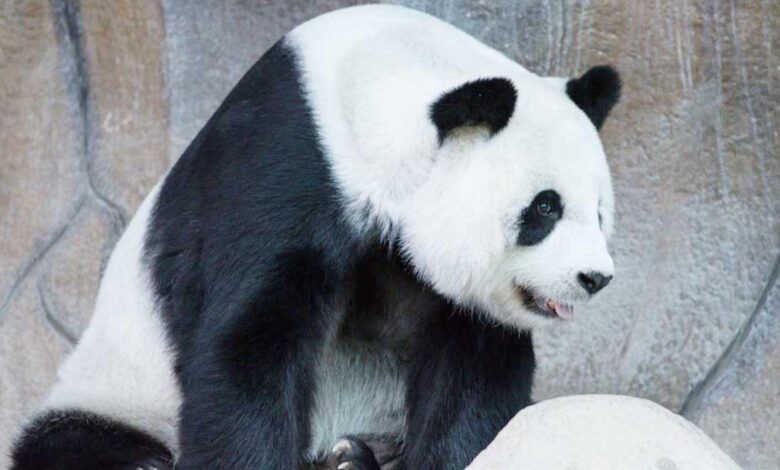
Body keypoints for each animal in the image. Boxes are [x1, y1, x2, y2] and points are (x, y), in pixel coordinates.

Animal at [11, 4, 620, 470]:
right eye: (545, 207)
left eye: (599, 213)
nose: (594, 278)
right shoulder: (283, 167)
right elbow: (248, 344)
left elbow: (474, 373)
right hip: (117, 389)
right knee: (72, 442)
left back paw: (354, 458)